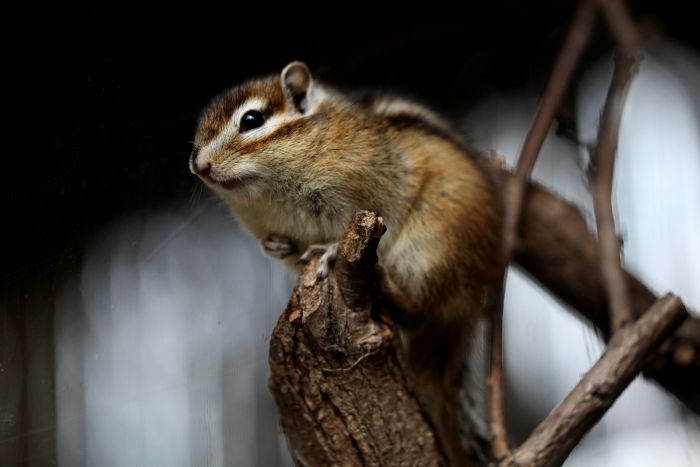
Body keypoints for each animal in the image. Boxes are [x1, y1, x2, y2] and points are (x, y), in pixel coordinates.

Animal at [190, 61, 504, 465]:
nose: (199, 165)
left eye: (252, 119)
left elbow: (353, 222)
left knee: (420, 308)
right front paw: (275, 247)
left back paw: (385, 283)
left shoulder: (369, 193)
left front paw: (329, 251)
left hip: (430, 252)